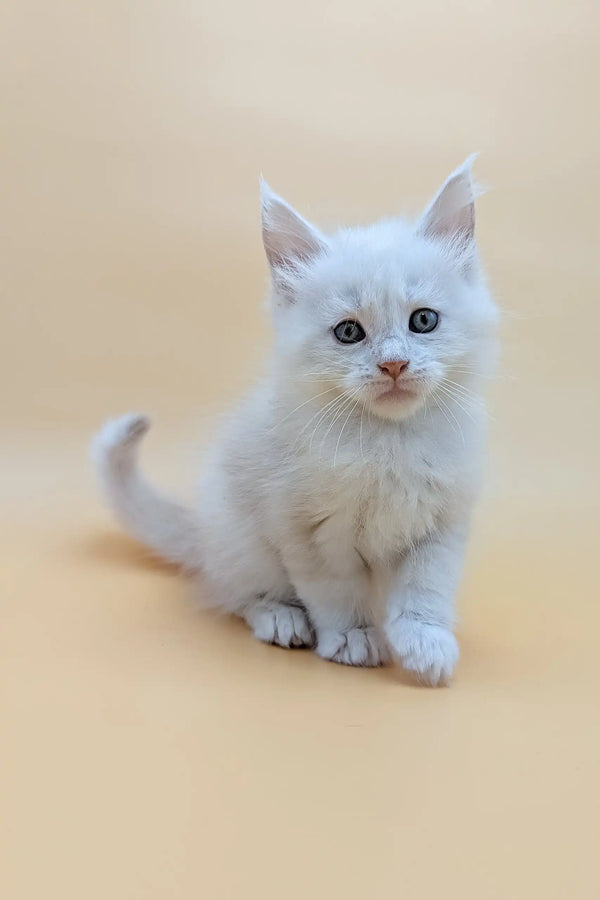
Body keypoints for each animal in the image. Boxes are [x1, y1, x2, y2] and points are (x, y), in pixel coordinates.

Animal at [92, 158, 496, 684]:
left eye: (423, 321)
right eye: (349, 332)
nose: (393, 365)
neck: (386, 442)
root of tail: (201, 532)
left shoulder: (440, 525)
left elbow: (424, 590)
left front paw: (426, 644)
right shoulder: (308, 529)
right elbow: (336, 592)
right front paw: (352, 638)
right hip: (240, 537)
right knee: (240, 594)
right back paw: (282, 618)